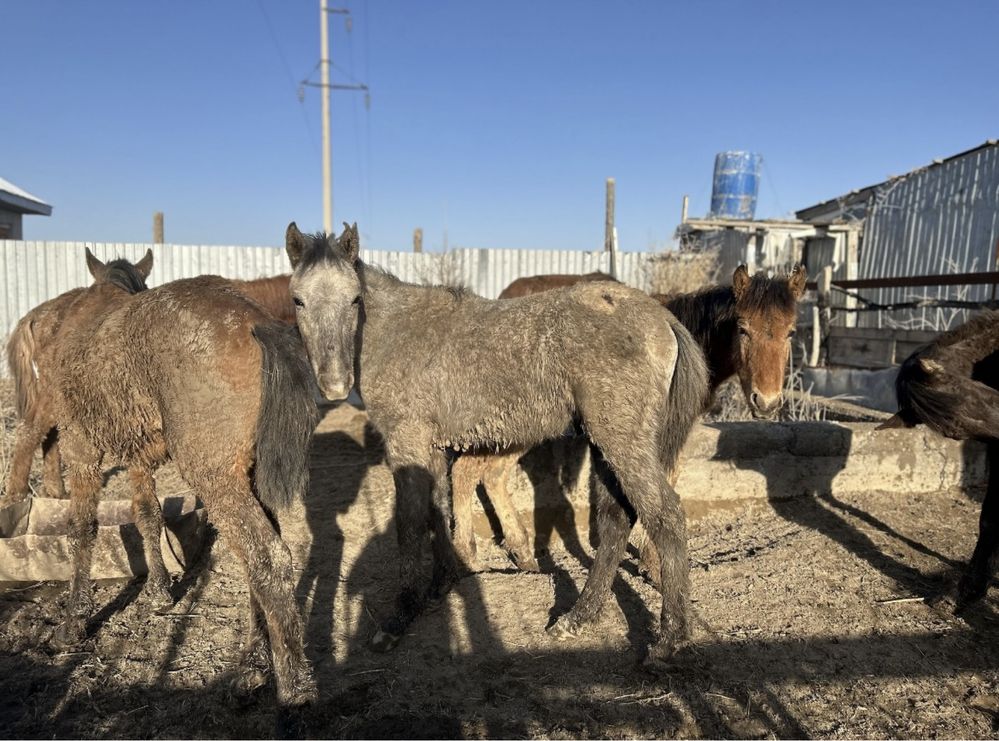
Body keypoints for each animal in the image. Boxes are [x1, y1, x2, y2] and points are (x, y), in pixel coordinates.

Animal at [450, 264, 808, 576]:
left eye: (791, 332)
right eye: (742, 328)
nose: (767, 402)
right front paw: (653, 563)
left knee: (484, 474)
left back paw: (516, 554)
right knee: (471, 472)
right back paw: (472, 557)